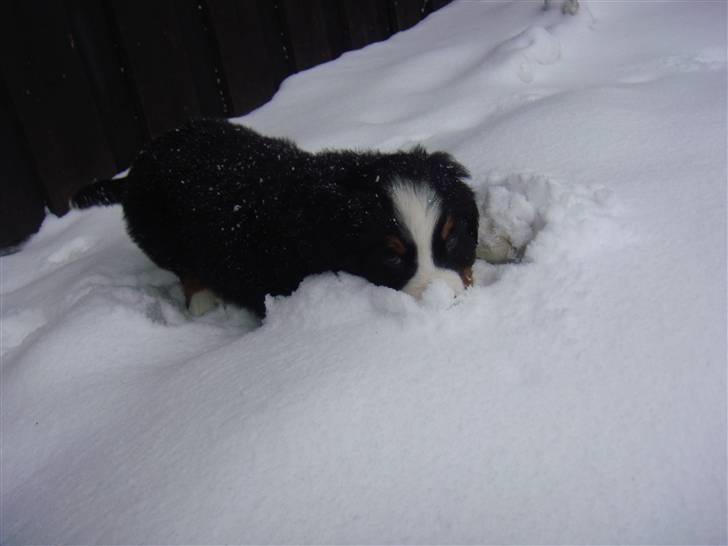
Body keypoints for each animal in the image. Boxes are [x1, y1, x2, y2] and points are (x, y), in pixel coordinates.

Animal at [74, 119, 478, 314]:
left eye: (452, 238)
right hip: (160, 236)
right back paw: (202, 302)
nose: (447, 301)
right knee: (185, 270)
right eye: (391, 257)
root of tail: (137, 166)